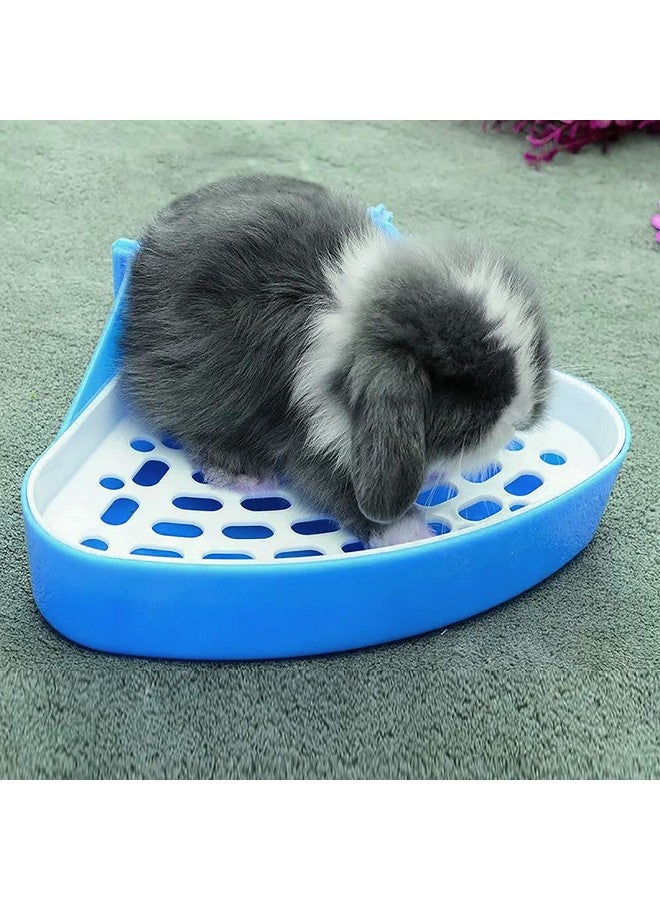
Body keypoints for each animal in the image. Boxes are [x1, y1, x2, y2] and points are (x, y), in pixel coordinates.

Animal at [120, 175, 550, 546]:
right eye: (460, 384)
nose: (518, 419)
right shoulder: (312, 435)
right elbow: (336, 487)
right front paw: (409, 534)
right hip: (195, 386)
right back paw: (243, 475)